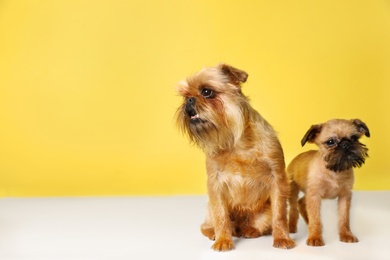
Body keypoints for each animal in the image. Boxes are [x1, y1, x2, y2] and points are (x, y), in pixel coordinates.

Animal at [175, 63, 294, 250]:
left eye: (207, 92)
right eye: (184, 96)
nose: (189, 100)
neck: (237, 142)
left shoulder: (278, 178)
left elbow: (280, 214)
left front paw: (282, 238)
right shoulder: (215, 184)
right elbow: (221, 216)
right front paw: (223, 240)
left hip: (263, 213)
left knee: (259, 225)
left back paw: (249, 230)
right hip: (209, 207)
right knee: (207, 225)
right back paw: (214, 233)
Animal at [288, 119, 370, 247]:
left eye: (354, 138)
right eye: (331, 142)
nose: (345, 144)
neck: (334, 171)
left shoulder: (344, 196)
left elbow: (344, 218)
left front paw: (346, 234)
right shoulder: (314, 196)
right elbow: (316, 219)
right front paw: (315, 237)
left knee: (301, 202)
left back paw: (307, 221)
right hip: (293, 190)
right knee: (293, 207)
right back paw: (292, 226)